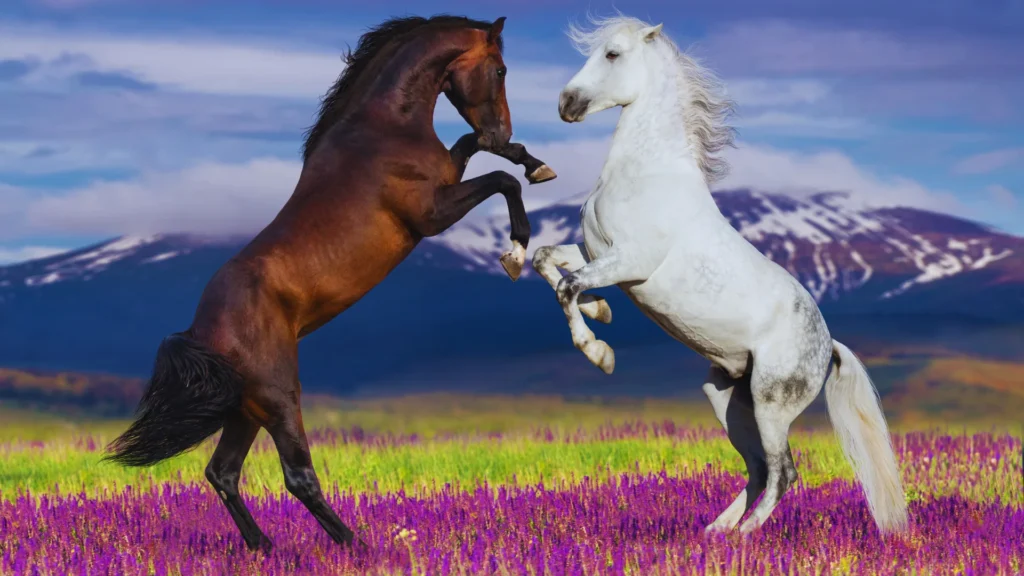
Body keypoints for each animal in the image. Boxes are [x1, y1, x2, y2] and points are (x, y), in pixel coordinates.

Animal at [104, 14, 558, 552]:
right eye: (502, 69)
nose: (501, 127)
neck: (383, 129)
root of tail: (200, 331)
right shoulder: (431, 214)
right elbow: (501, 182)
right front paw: (515, 251)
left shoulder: (449, 175)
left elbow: (479, 153)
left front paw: (533, 162)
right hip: (279, 397)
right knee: (297, 476)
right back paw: (357, 544)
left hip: (246, 409)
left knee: (223, 472)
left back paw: (265, 547)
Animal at [531, 14, 909, 536]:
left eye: (612, 54)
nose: (566, 104)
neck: (646, 173)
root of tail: (828, 346)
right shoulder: (594, 251)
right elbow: (545, 260)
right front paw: (601, 312)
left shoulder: (629, 262)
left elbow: (568, 286)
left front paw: (599, 353)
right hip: (726, 397)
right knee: (757, 468)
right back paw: (715, 533)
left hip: (772, 404)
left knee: (783, 471)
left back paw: (745, 536)